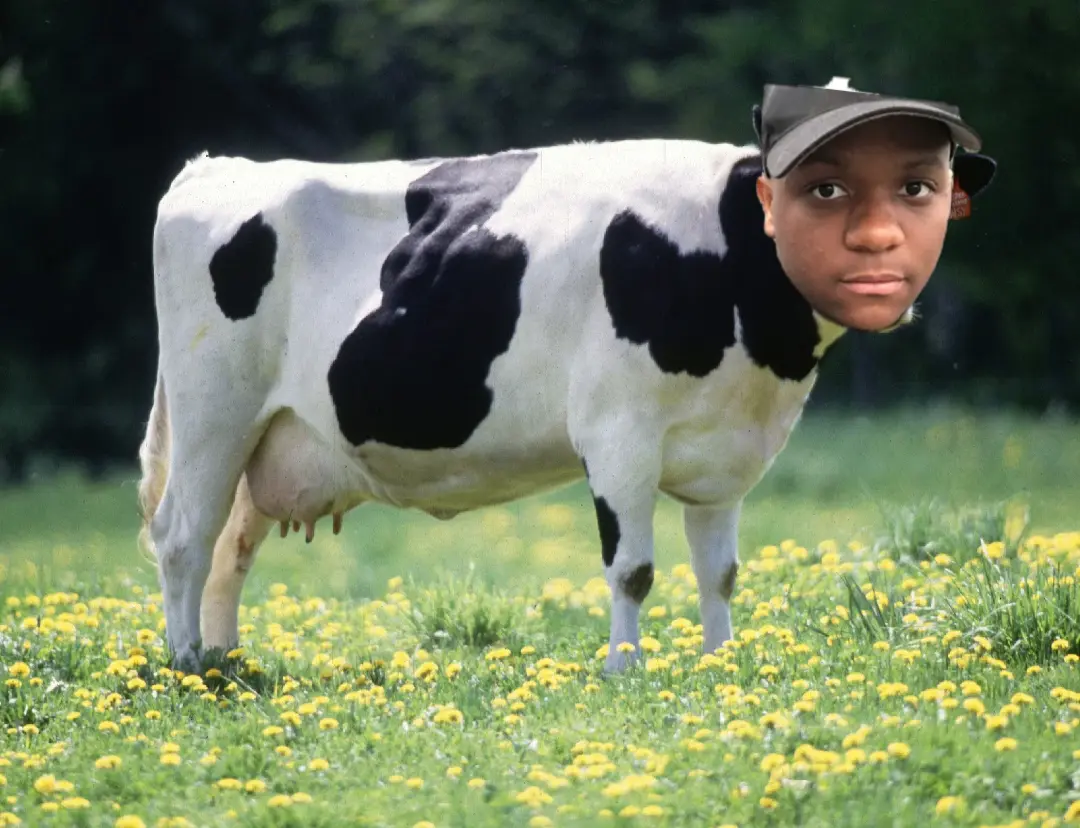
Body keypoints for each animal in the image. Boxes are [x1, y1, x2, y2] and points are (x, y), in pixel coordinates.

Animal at [137, 136, 991, 674]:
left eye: (916, 186)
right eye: (826, 189)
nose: (886, 257)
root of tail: (215, 169)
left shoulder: (723, 453)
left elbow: (719, 572)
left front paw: (721, 662)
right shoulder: (618, 433)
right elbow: (634, 569)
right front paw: (625, 669)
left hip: (267, 440)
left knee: (229, 549)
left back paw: (228, 661)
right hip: (214, 413)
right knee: (183, 537)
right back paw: (188, 667)